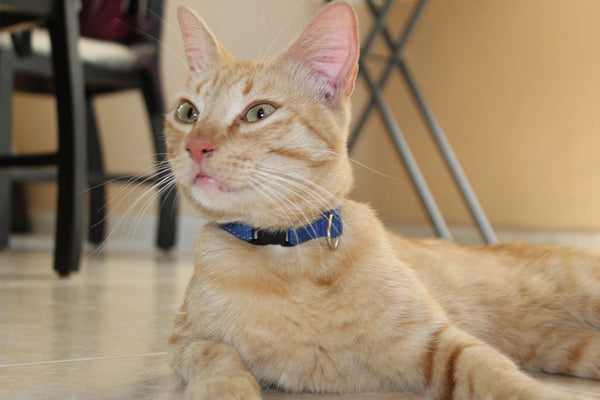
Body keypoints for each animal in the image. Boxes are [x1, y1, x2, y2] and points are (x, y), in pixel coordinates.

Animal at [165, 1, 600, 398]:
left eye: (259, 112)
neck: (289, 252)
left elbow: (499, 375)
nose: (196, 147)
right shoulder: (183, 341)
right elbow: (218, 358)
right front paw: (224, 389)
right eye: (187, 113)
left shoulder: (437, 341)